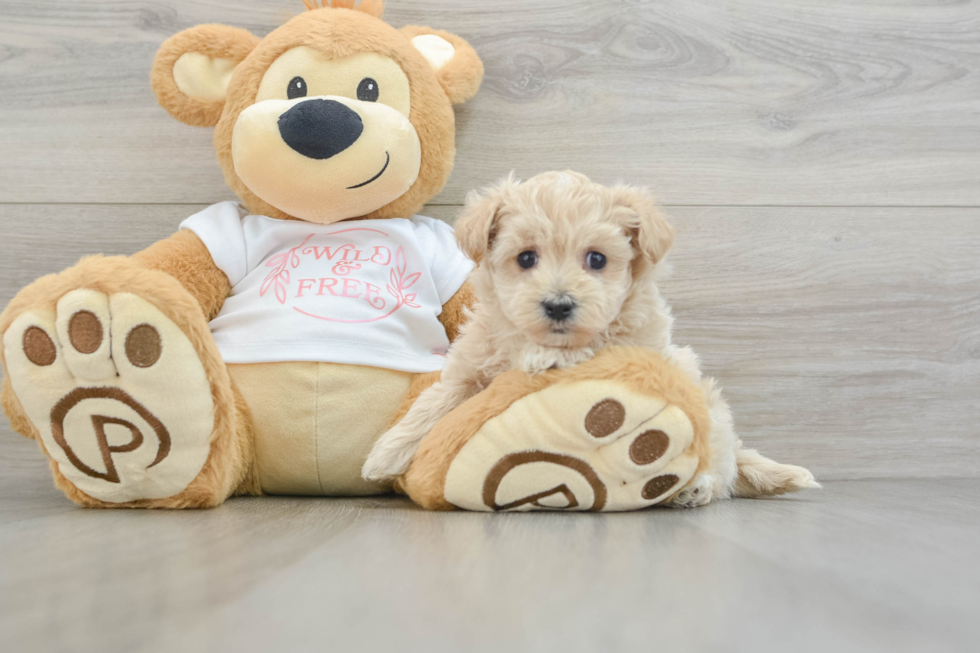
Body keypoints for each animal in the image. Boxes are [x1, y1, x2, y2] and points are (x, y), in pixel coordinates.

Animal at [364, 169, 816, 504]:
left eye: (597, 259)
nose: (559, 305)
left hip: (708, 408)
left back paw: (695, 488)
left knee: (718, 465)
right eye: (526, 258)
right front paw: (385, 454)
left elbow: (591, 346)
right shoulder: (471, 367)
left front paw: (546, 358)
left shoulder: (632, 343)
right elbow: (435, 402)